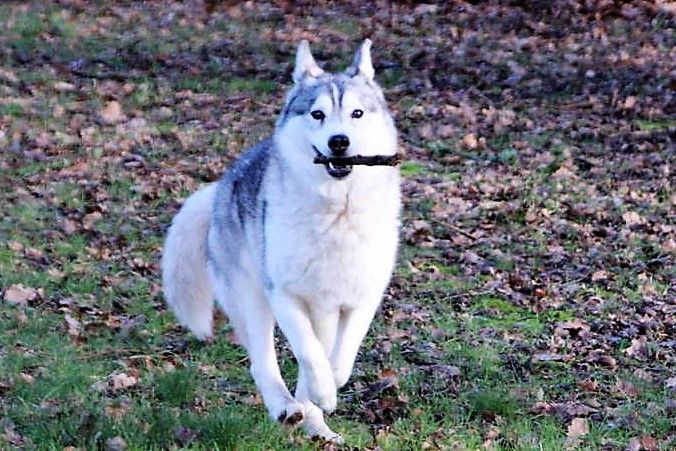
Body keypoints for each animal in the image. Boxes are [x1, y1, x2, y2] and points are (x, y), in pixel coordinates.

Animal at [162, 39, 401, 442]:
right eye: (318, 114)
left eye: (357, 113)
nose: (339, 142)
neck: (336, 211)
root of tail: (221, 187)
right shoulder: (284, 294)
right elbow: (308, 352)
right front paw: (323, 392)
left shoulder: (362, 297)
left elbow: (340, 356)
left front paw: (328, 389)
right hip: (253, 299)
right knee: (263, 363)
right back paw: (286, 408)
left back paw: (317, 426)